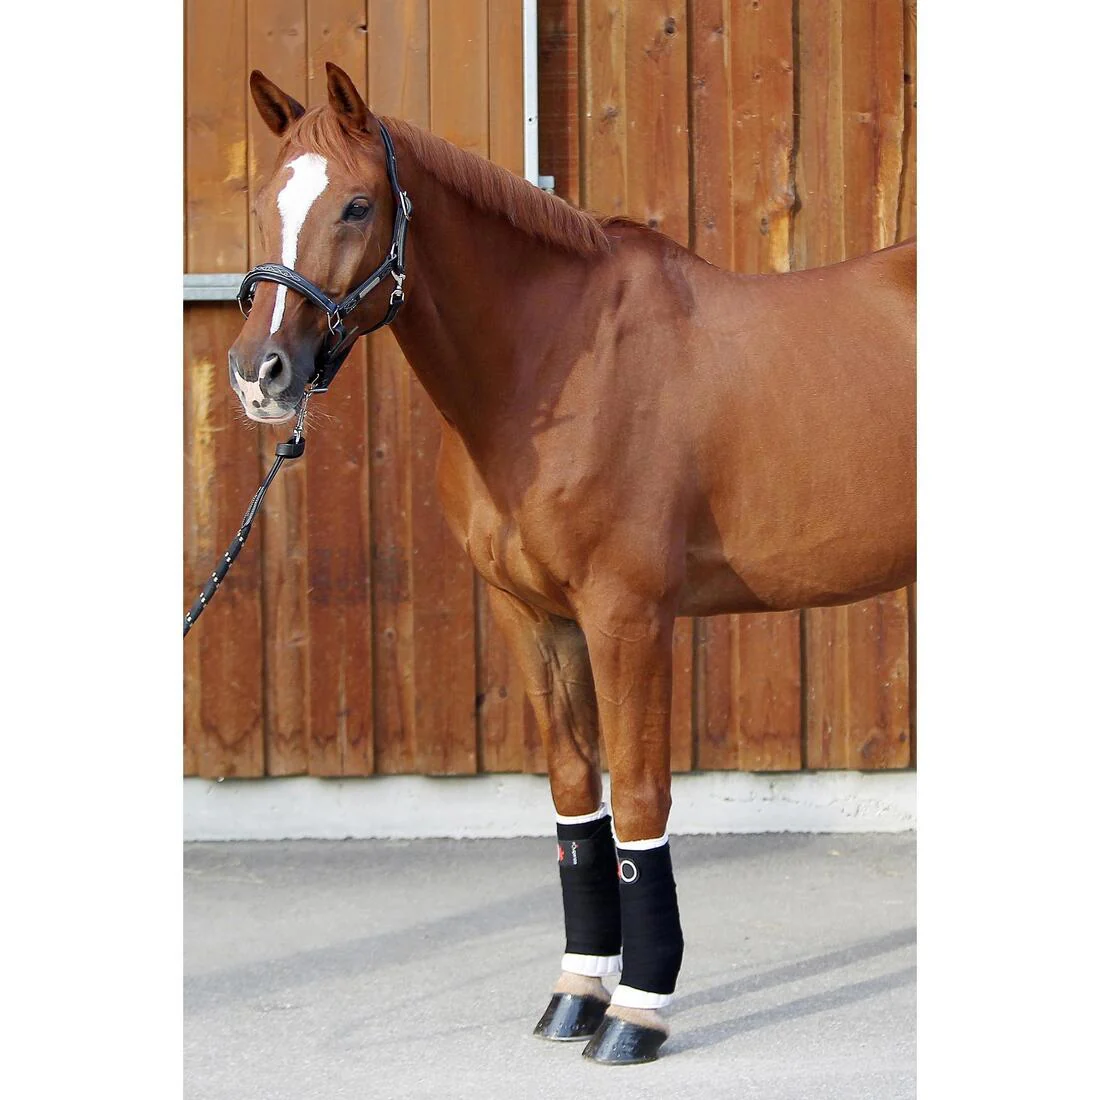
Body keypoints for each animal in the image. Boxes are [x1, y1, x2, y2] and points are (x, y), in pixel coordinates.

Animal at [228, 63, 916, 1065]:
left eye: (357, 205)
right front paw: (577, 992)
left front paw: (638, 1009)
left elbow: (640, 799)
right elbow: (575, 800)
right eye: (261, 202)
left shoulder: (628, 616)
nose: (261, 373)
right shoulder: (535, 619)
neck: (553, 361)